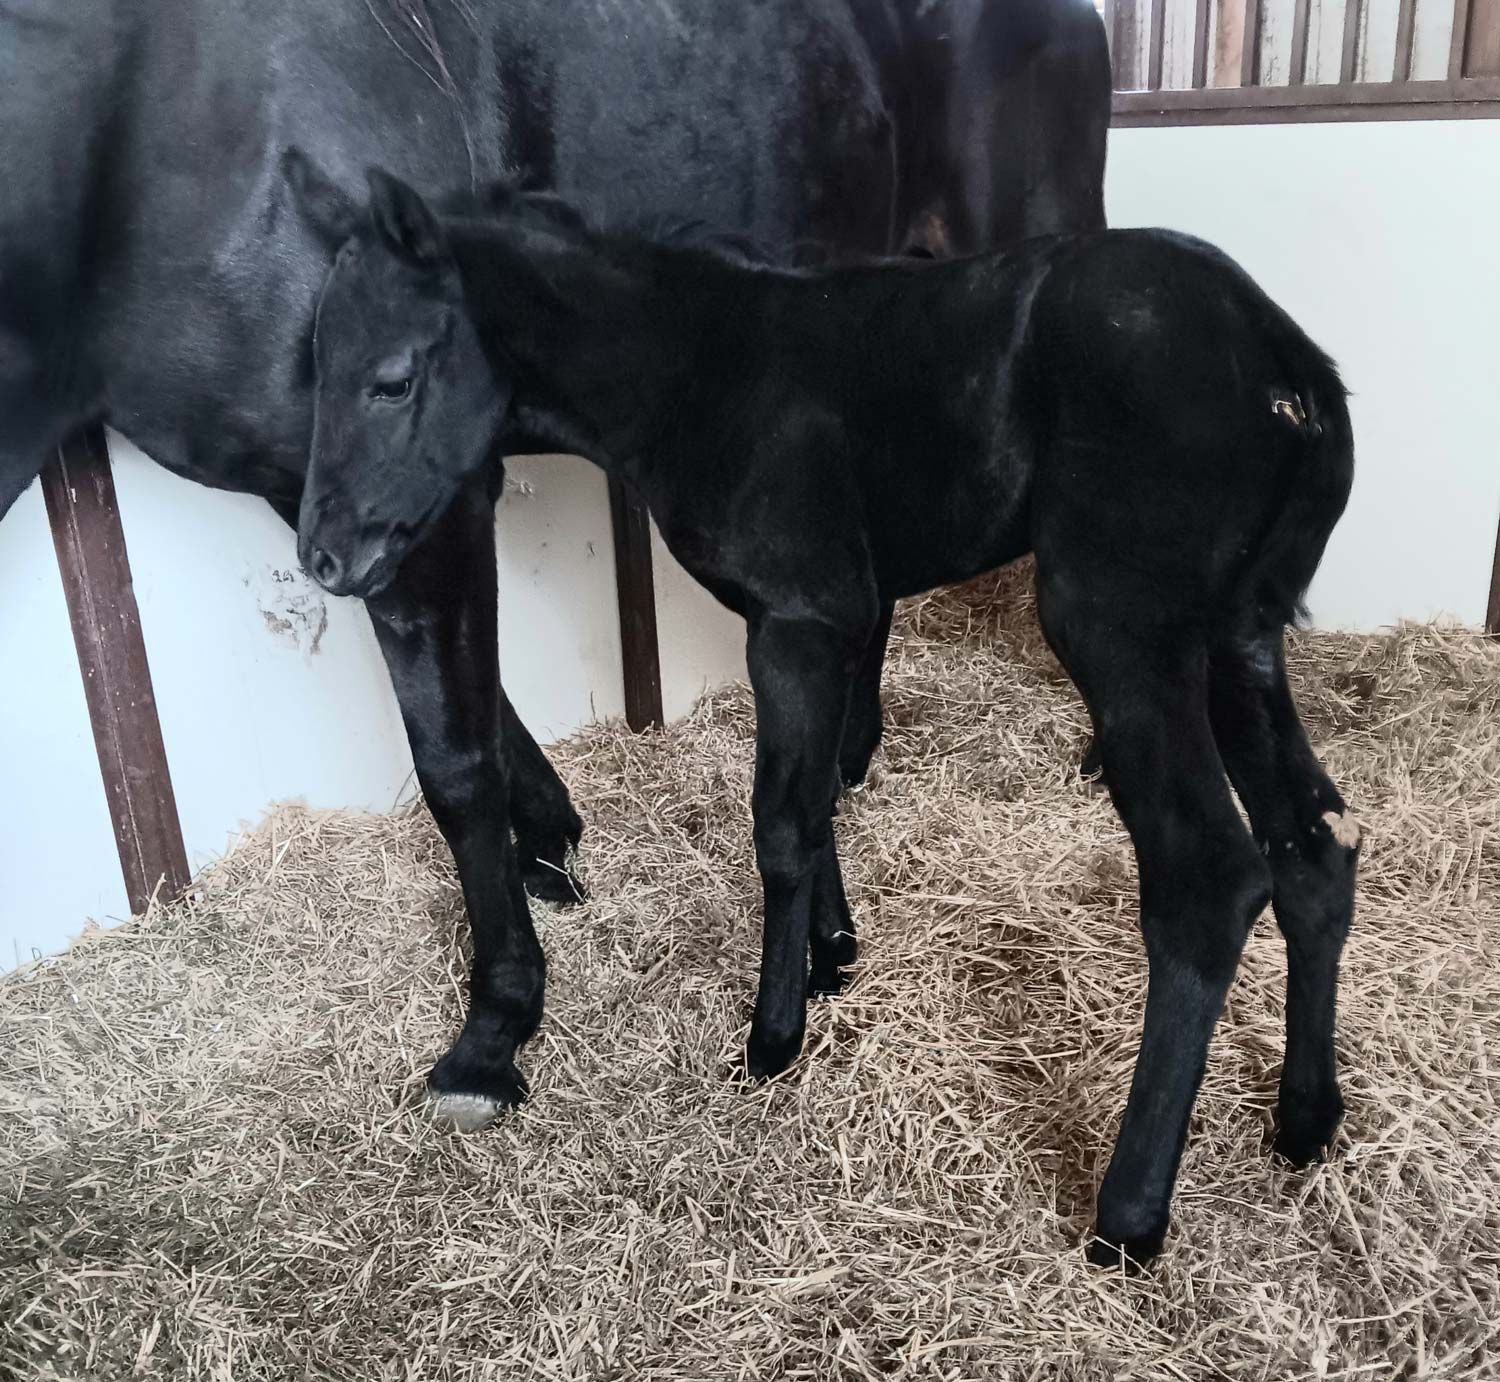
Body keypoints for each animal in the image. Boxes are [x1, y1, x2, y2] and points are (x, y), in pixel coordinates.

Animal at [0, 0, 1110, 1118]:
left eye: (393, 379)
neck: (143, 130)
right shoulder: (325, 497)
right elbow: (480, 711)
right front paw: (556, 845)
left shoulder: (434, 500)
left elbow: (454, 760)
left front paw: (495, 1023)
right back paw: (851, 759)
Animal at [286, 164, 1360, 1266]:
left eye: (393, 378)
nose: (323, 555)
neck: (702, 369)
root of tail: (1283, 359)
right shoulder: (835, 620)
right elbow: (822, 792)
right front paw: (835, 956)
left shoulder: (795, 619)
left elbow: (781, 823)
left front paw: (773, 1035)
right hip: (1240, 639)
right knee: (1312, 854)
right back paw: (1305, 1121)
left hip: (1124, 632)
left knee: (1209, 880)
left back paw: (1129, 1214)